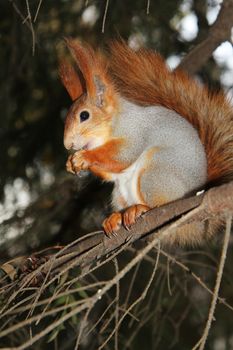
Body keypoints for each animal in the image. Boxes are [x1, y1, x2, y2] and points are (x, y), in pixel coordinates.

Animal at [59, 38, 233, 245]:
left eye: (84, 115)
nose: (67, 144)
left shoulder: (136, 132)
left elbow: (124, 156)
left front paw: (83, 157)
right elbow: (110, 172)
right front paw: (70, 163)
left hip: (156, 174)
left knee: (158, 205)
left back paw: (141, 210)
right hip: (119, 194)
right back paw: (116, 218)